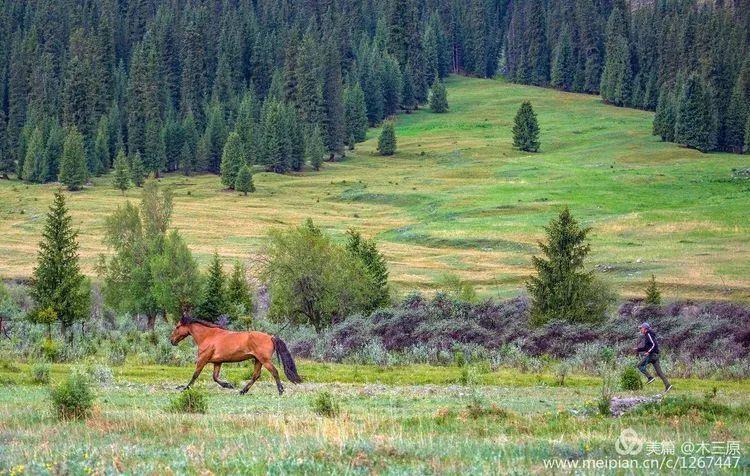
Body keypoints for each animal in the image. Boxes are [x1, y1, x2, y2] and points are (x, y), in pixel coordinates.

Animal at [170, 316, 302, 394]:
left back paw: (280, 390)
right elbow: (215, 377)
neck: (208, 336)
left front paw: (185, 388)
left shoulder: (202, 360)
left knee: (274, 372)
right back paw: (242, 391)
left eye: (177, 326)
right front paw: (228, 385)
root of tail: (271, 337)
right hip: (258, 360)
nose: (172, 341)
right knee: (256, 375)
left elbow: (195, 375)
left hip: (264, 360)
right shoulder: (217, 362)